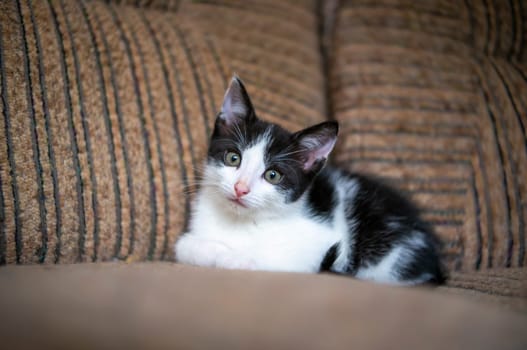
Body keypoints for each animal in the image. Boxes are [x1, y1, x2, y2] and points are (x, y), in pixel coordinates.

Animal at [176, 76, 446, 284]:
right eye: (233, 158)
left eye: (273, 175)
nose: (240, 188)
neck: (241, 222)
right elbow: (185, 246)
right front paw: (222, 253)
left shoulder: (316, 246)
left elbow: (274, 260)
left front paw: (238, 259)